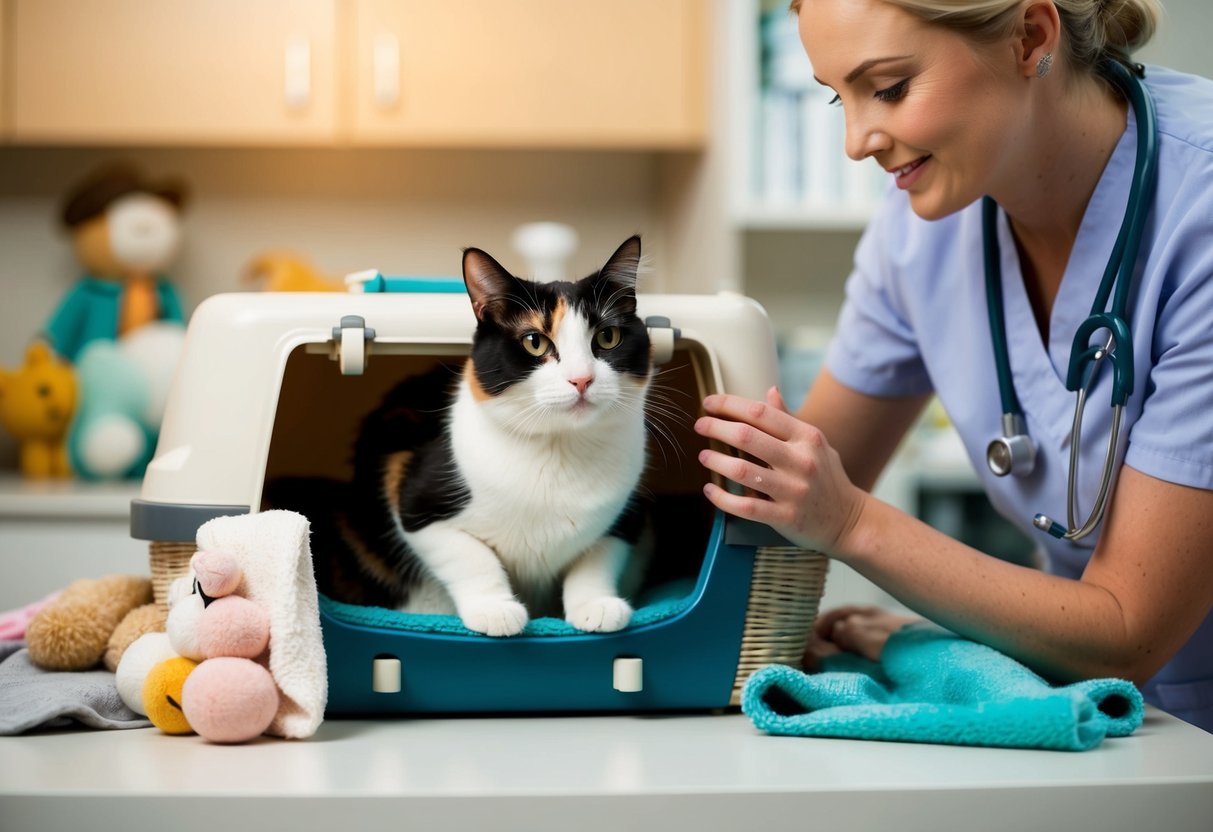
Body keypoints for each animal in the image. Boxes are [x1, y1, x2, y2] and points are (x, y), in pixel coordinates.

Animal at [282, 236, 655, 640]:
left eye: (608, 337)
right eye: (534, 342)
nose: (582, 379)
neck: (559, 447)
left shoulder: (630, 512)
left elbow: (598, 557)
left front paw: (595, 605)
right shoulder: (411, 493)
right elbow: (471, 557)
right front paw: (496, 610)